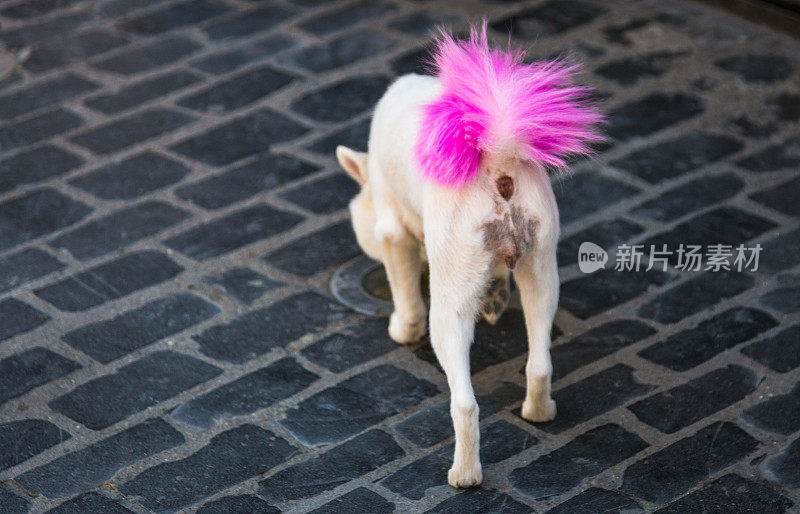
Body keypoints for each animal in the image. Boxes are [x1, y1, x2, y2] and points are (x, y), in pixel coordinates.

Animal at [332, 25, 600, 488]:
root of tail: (499, 158)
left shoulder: (392, 227)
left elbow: (404, 291)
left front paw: (402, 328)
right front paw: (494, 296)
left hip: (450, 308)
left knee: (465, 403)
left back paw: (464, 474)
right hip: (540, 266)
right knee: (539, 361)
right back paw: (539, 411)